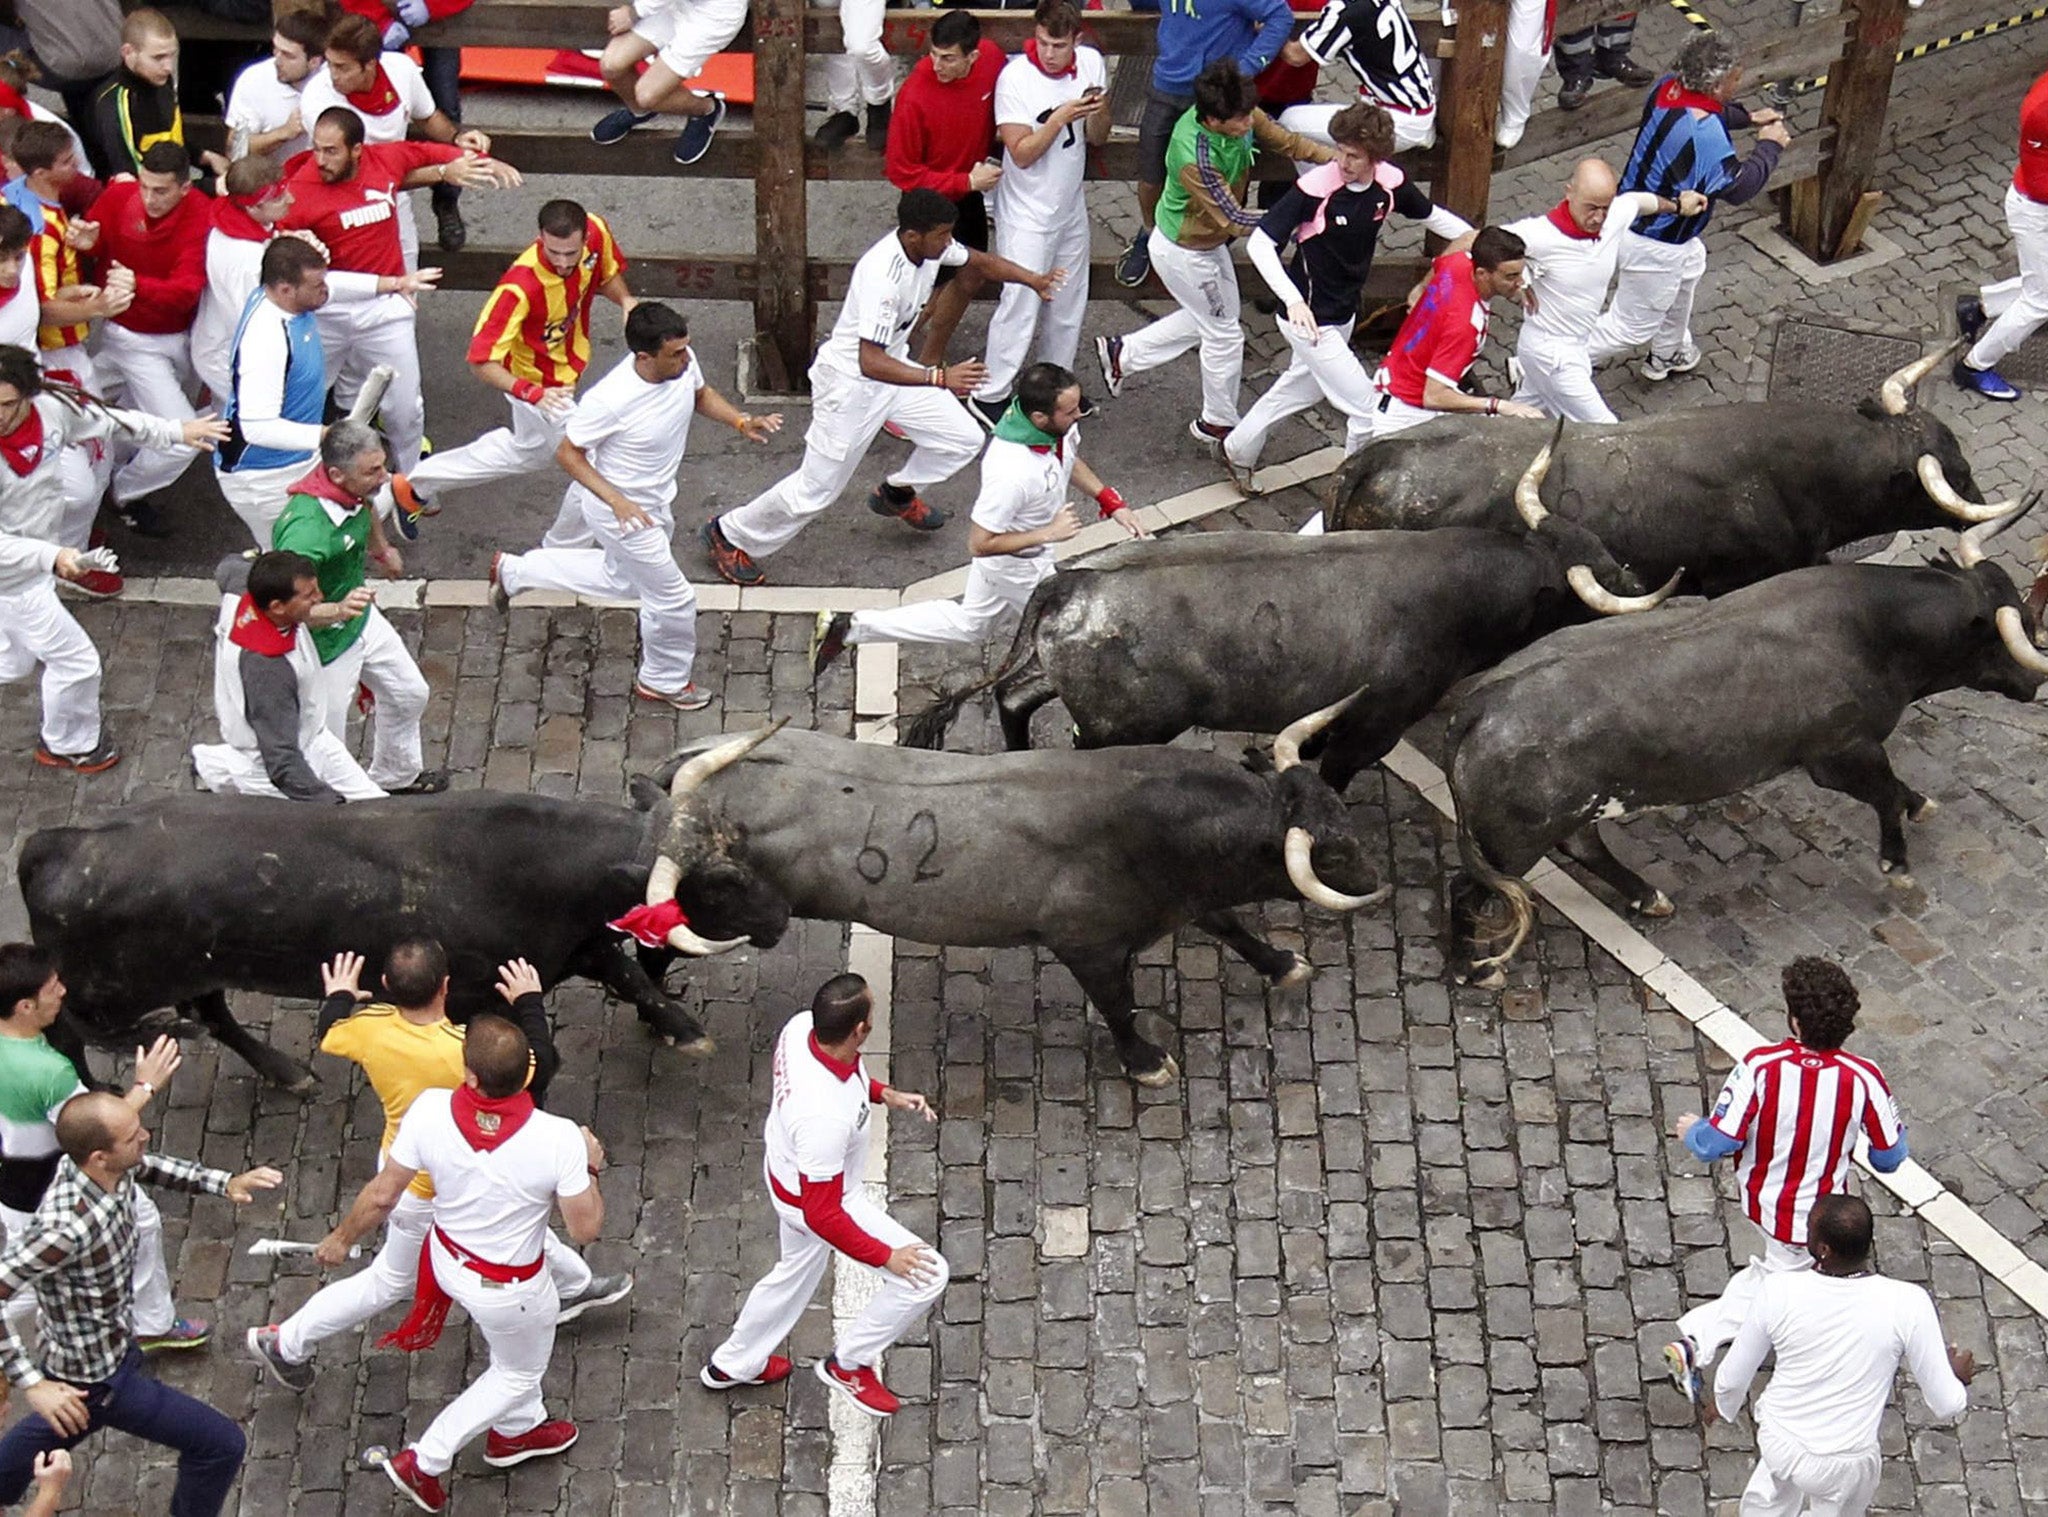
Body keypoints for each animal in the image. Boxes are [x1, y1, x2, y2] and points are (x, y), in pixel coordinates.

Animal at [630, 720, 1384, 1080]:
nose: (1378, 880)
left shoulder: (1187, 899)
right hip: (713, 912)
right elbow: (1119, 1004)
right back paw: (671, 1024)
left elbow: (1229, 923)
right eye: (1332, 855)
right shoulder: (1085, 944)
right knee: (650, 948)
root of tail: (679, 776)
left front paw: (1281, 962)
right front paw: (1145, 1061)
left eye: (1344, 812)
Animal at [905, 497, 1671, 786]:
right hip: (1117, 727)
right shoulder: (1374, 727)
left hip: (1056, 675)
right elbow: (1333, 772)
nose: (1632, 579)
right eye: (1585, 584)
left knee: (1014, 697)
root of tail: (1072, 582)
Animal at [1441, 509, 2048, 982]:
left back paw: (1647, 896)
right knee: (1465, 888)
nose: (2033, 681)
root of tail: (1483, 700)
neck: (1869, 627)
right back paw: (1470, 967)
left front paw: (1919, 805)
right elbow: (1884, 793)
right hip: (1510, 844)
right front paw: (1896, 860)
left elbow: (1895, 789)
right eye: (2007, 631)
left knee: (1583, 848)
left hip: (1569, 815)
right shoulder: (1840, 754)